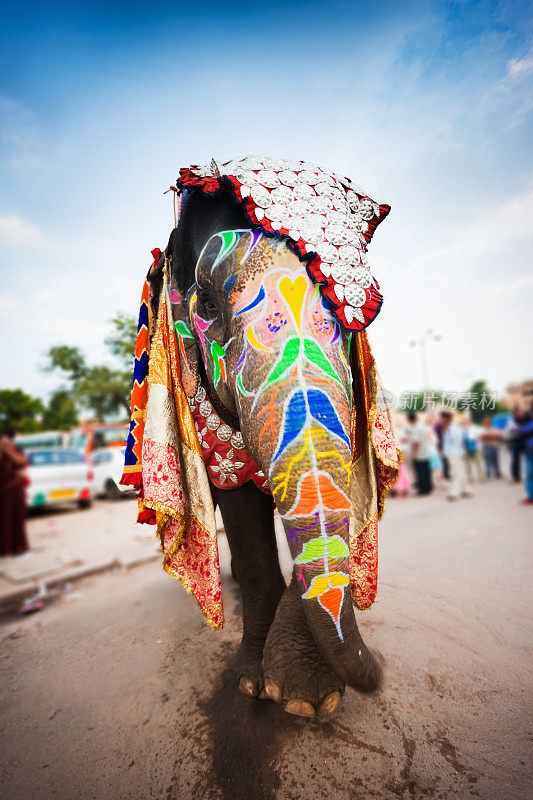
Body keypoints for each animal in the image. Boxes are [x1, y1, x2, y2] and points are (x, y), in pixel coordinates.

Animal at [121, 156, 400, 720]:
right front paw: (256, 686)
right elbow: (241, 511)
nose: (380, 668)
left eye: (354, 314)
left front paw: (303, 698)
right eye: (206, 301)